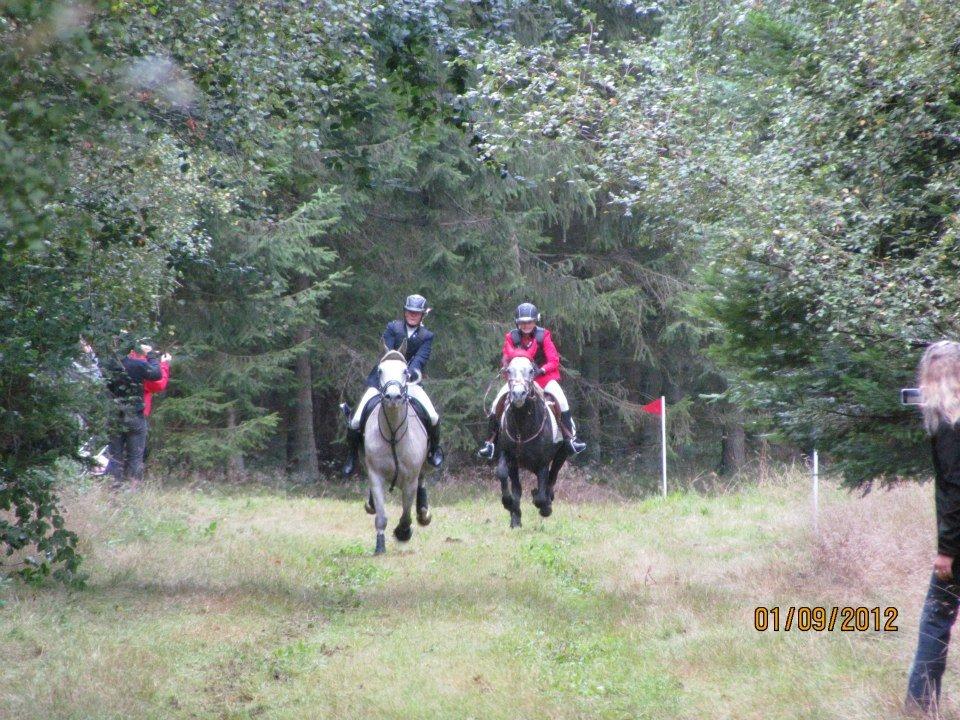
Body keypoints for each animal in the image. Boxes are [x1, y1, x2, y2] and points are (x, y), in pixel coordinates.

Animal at [364, 346, 432, 556]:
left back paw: (423, 512)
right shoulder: (375, 476)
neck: (393, 432)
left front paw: (403, 532)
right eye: (380, 371)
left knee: (423, 480)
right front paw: (380, 546)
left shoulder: (410, 480)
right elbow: (381, 516)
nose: (393, 397)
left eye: (405, 371)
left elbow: (406, 514)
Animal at [496, 358, 568, 524]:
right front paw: (508, 503)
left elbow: (541, 495)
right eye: (508, 371)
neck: (522, 425)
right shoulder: (508, 455)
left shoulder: (543, 463)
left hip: (561, 455)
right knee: (517, 487)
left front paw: (544, 507)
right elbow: (502, 472)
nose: (518, 394)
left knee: (552, 477)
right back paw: (515, 517)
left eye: (531, 371)